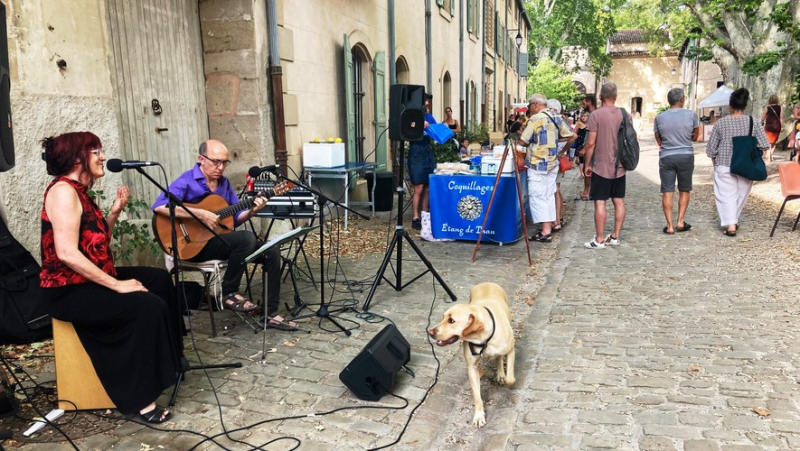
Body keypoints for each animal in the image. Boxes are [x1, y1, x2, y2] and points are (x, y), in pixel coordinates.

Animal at [428, 282, 516, 428]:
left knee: (499, 358)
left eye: (451, 321)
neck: (482, 338)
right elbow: (477, 396)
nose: (429, 332)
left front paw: (506, 379)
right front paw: (479, 416)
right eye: (443, 317)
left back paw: (500, 373)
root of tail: (487, 282)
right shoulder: (472, 367)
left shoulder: (510, 349)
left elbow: (510, 379)